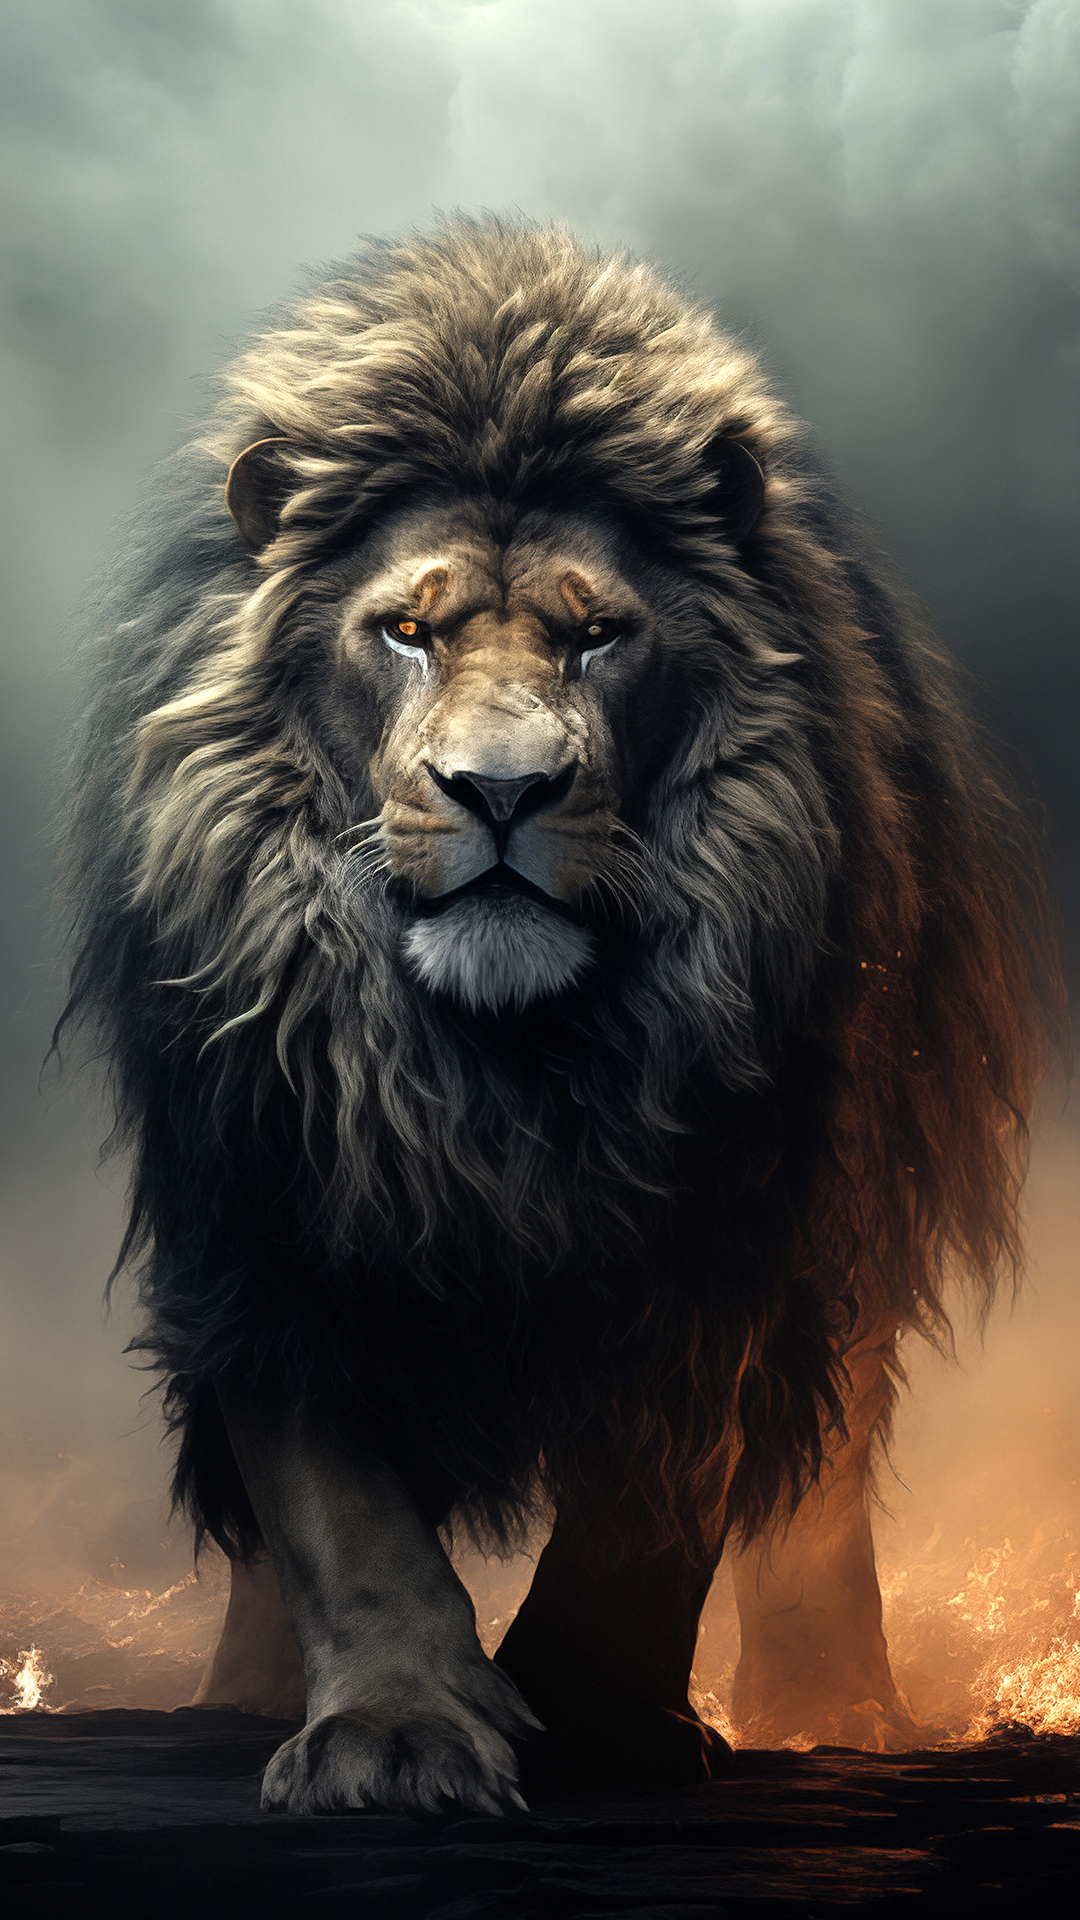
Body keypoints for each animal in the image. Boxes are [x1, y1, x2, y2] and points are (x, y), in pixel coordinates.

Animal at [59, 218, 1061, 1812]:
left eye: (598, 639)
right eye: (407, 630)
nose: (504, 790)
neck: (499, 1066)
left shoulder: (736, 1225)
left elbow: (657, 1503)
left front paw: (597, 1717)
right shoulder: (276, 1196)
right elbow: (336, 1510)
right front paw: (395, 1729)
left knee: (821, 1498)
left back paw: (838, 1704)